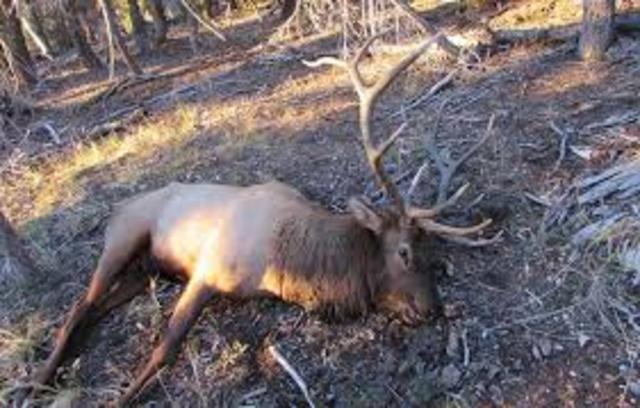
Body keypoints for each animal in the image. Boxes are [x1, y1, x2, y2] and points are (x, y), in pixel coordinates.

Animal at [27, 33, 498, 406]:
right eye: (404, 252)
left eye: (431, 252)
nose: (434, 308)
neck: (286, 265)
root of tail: (117, 209)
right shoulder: (206, 272)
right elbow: (166, 348)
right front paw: (120, 399)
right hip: (123, 239)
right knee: (79, 306)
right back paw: (38, 382)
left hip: (147, 272)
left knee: (95, 309)